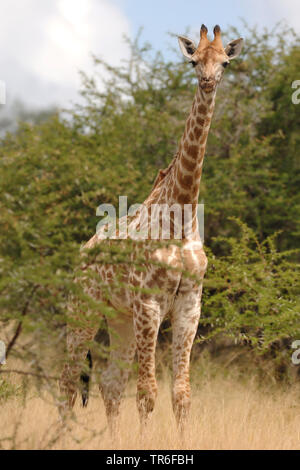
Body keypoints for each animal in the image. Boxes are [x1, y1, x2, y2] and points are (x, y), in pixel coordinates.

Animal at [59, 25, 244, 436]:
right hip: (83, 308)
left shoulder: (189, 304)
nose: (208, 81)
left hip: (119, 318)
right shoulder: (149, 304)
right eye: (193, 61)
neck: (182, 218)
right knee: (67, 381)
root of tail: (83, 251)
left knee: (110, 383)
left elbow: (181, 395)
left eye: (225, 62)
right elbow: (147, 393)